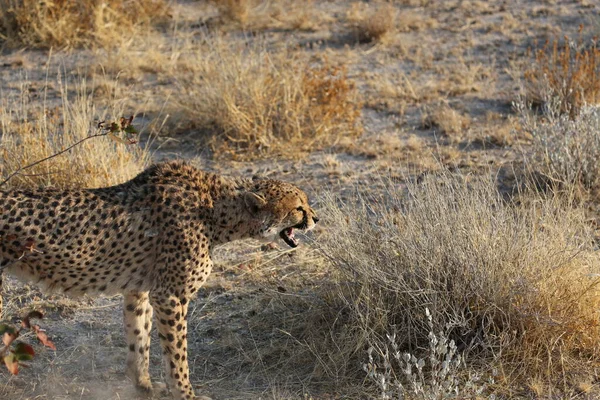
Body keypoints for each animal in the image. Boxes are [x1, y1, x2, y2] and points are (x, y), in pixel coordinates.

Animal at [0, 161, 318, 398]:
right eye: (298, 207)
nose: (316, 218)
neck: (216, 209)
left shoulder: (140, 290)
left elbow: (139, 338)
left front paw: (144, 386)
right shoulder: (170, 295)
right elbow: (177, 353)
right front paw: (185, 394)